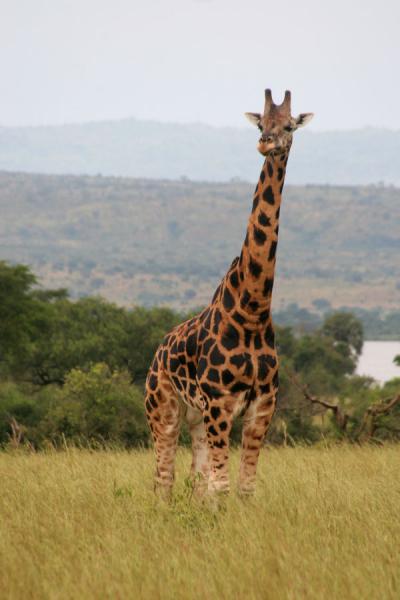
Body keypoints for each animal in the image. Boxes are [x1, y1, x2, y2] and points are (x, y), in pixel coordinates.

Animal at [145, 86, 314, 494]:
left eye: (289, 125)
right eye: (261, 122)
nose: (266, 142)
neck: (253, 308)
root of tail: (156, 353)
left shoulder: (261, 408)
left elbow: (242, 485)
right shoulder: (221, 404)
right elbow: (220, 485)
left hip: (196, 417)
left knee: (195, 475)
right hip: (163, 410)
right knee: (163, 478)